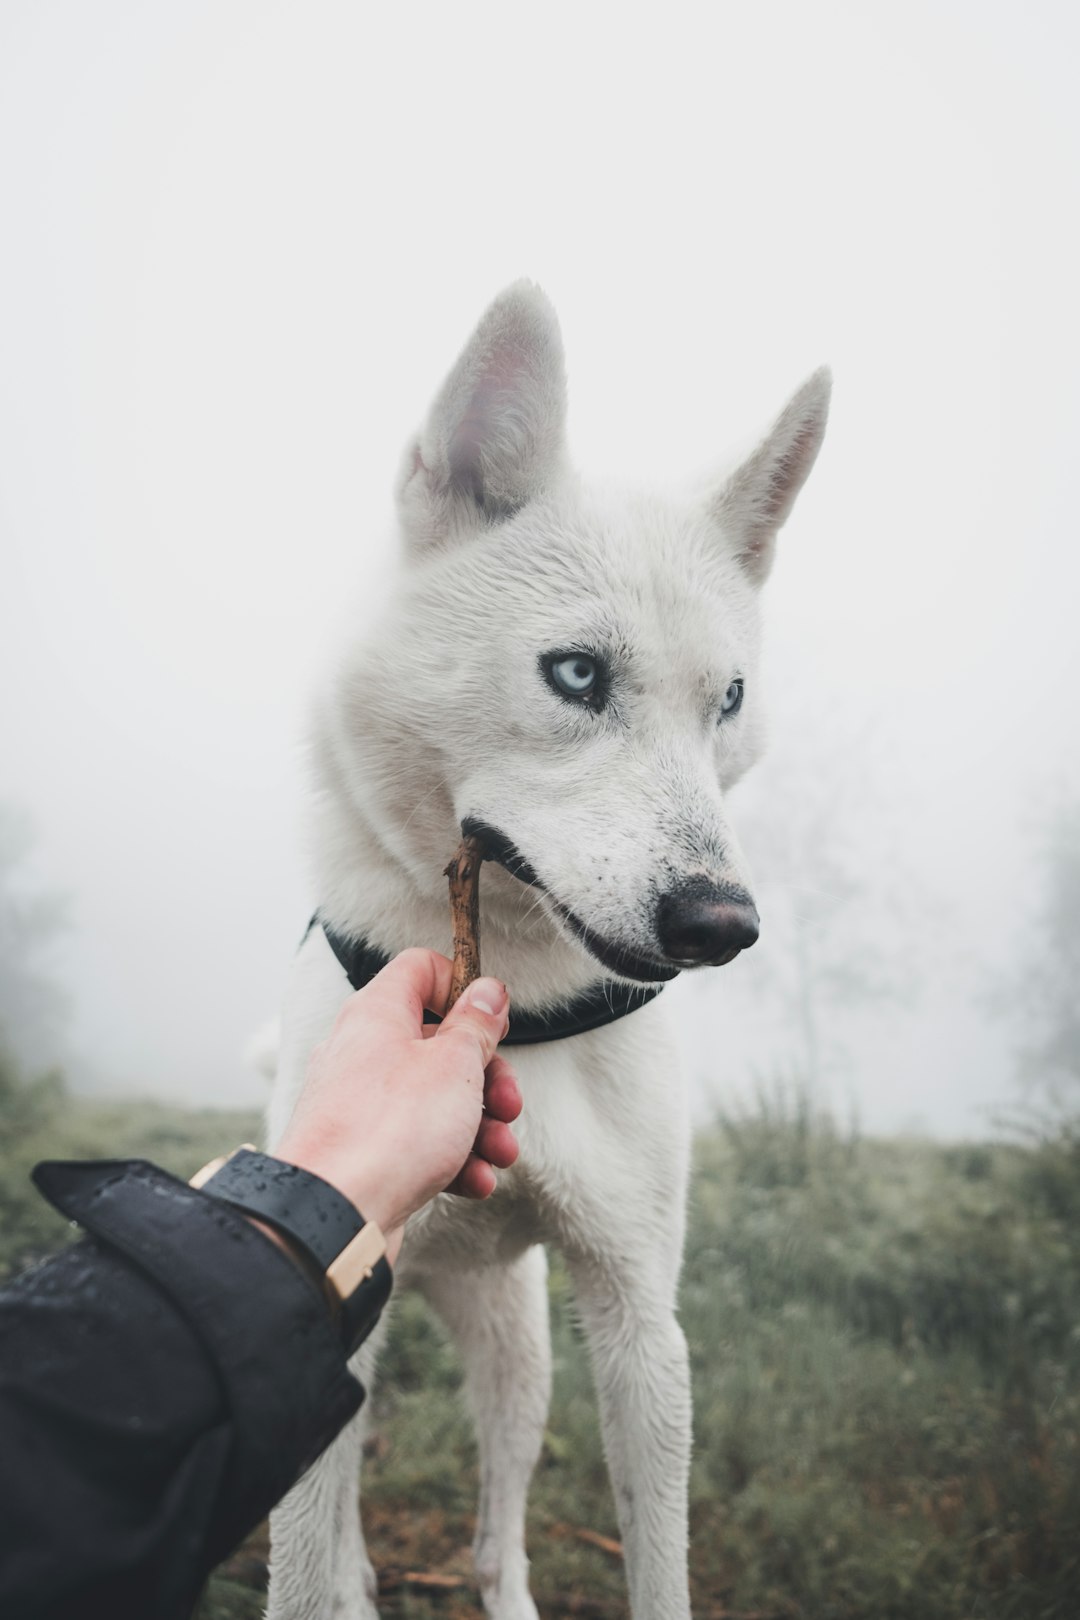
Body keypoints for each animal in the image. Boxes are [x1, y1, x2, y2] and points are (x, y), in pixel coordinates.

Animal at [265, 285, 835, 1613]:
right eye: (576, 674)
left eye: (729, 701)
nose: (725, 926)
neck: (517, 1006)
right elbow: (302, 1573)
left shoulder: (639, 1322)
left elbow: (660, 1567)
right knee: (349, 1513)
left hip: (523, 1363)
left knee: (497, 1531)